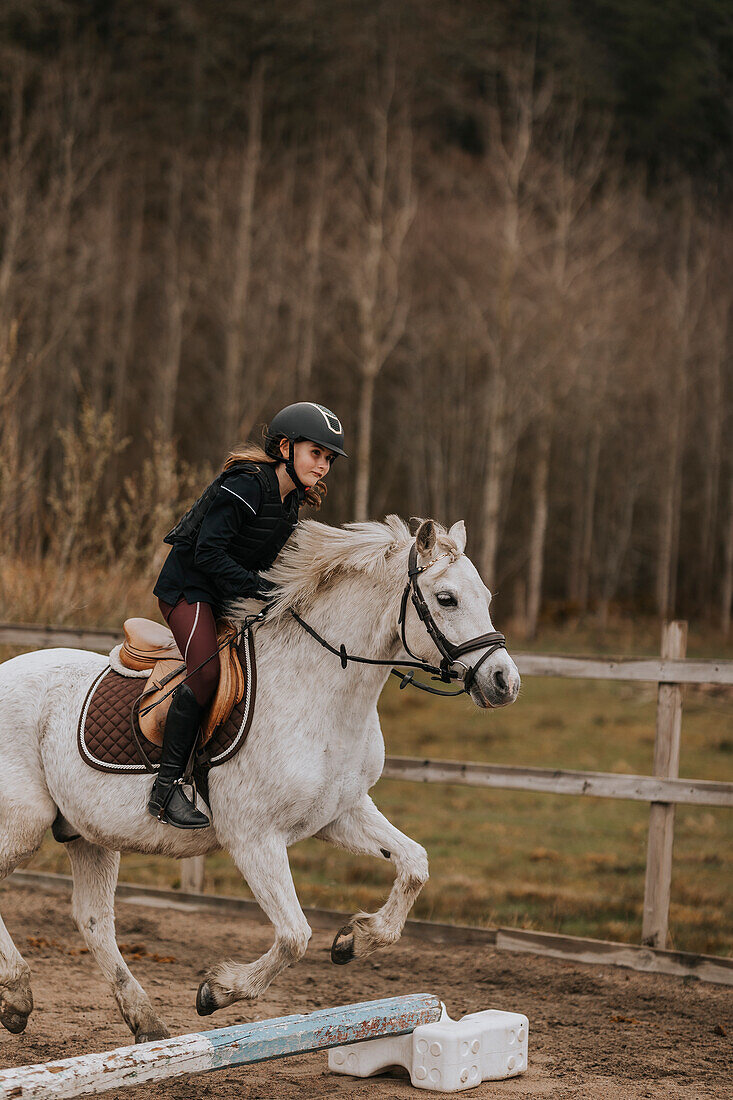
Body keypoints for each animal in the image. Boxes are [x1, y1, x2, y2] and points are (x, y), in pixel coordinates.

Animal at [0, 514, 517, 1038]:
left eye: (486, 597)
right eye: (446, 598)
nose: (504, 683)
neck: (321, 691)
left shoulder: (340, 815)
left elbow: (414, 865)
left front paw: (355, 939)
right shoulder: (253, 838)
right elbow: (293, 936)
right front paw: (218, 991)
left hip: (88, 835)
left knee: (93, 921)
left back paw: (143, 1023)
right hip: (23, 826)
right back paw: (18, 994)